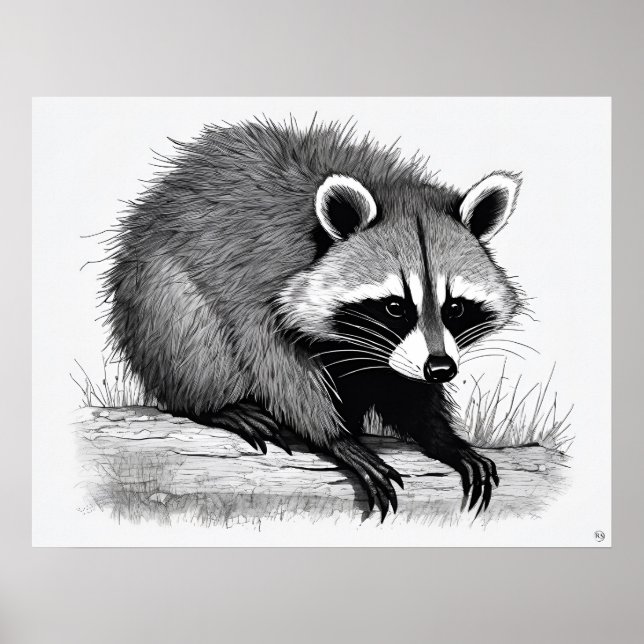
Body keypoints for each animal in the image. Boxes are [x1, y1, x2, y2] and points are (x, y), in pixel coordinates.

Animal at [105, 118, 523, 519]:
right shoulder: (259, 279)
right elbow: (274, 360)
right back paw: (215, 405)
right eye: (395, 307)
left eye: (455, 308)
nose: (441, 369)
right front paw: (336, 437)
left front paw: (443, 437)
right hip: (157, 300)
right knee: (190, 328)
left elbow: (402, 386)